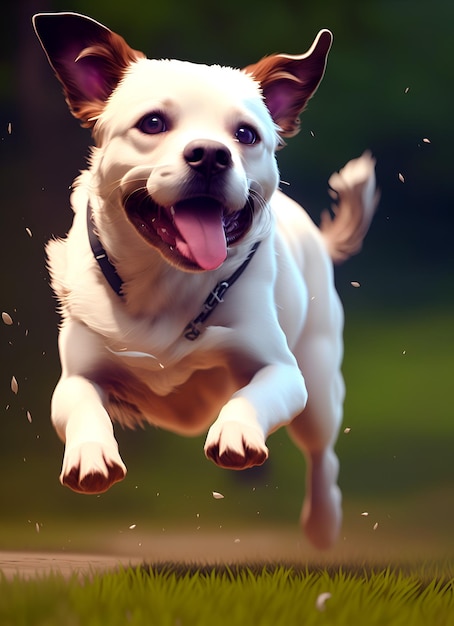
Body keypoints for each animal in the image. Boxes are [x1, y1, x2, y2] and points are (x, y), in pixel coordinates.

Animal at [33, 11, 378, 544]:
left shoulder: (283, 371)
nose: (211, 154)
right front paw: (91, 456)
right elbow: (83, 403)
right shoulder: (76, 376)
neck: (167, 284)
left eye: (246, 134)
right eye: (153, 123)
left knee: (322, 453)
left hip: (320, 384)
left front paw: (237, 431)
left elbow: (254, 393)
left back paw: (322, 522)